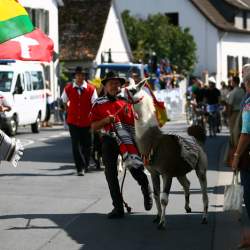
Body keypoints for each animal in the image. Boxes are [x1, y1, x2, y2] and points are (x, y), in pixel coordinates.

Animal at [118, 80, 208, 230]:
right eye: (123, 87)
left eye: (132, 90)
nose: (118, 94)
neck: (154, 142)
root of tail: (196, 138)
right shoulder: (154, 172)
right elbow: (155, 195)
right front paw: (157, 217)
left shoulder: (167, 172)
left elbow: (164, 199)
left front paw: (162, 223)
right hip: (179, 171)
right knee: (187, 184)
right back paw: (187, 207)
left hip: (200, 166)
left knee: (204, 192)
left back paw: (204, 217)